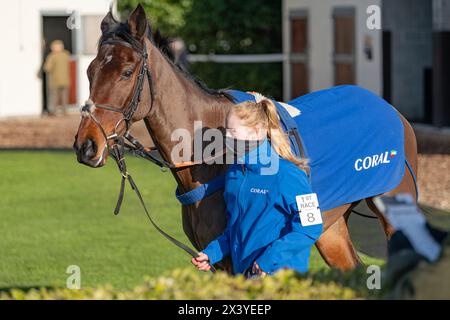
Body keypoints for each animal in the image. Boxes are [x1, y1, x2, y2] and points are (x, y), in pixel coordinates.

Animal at [74, 4, 418, 272]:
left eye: (127, 72)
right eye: (90, 71)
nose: (86, 145)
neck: (210, 153)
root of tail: (390, 109)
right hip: (328, 228)